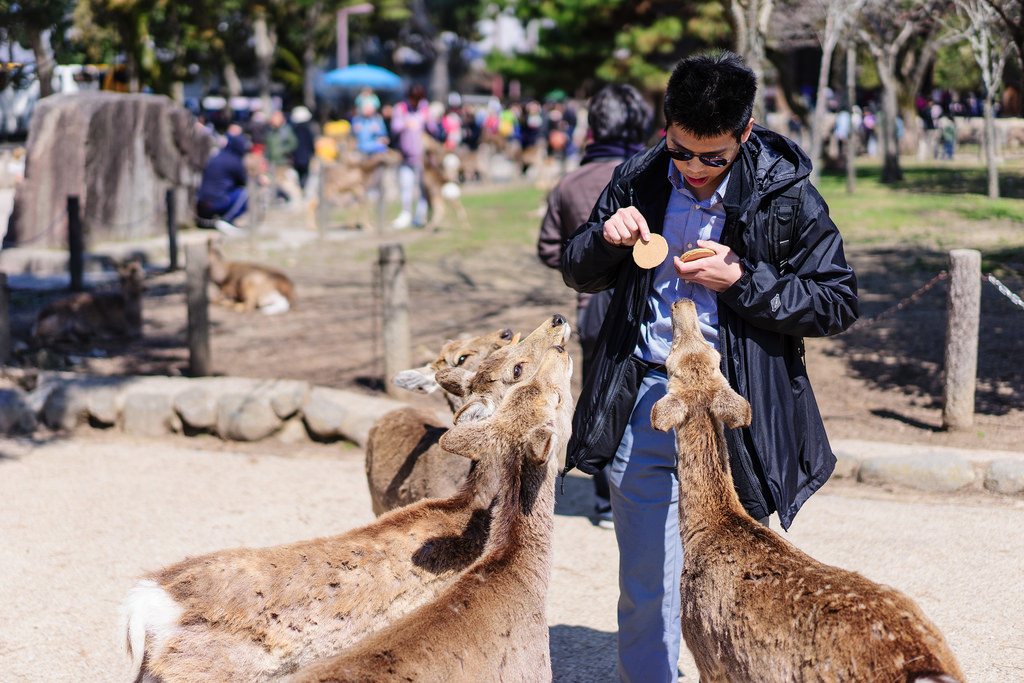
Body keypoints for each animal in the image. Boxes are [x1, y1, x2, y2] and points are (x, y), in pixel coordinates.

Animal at [651, 296, 962, 683]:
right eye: (712, 355)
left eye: (669, 362)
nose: (683, 302)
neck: (708, 527)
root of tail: (925, 665)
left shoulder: (708, 656)